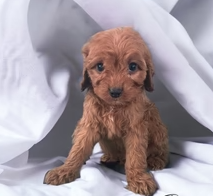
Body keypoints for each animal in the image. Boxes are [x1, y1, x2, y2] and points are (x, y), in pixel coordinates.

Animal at [44, 26, 169, 195]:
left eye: (133, 67)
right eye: (99, 66)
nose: (115, 92)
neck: (113, 107)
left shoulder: (136, 127)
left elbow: (136, 155)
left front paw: (138, 179)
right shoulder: (89, 124)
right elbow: (78, 148)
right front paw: (64, 170)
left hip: (157, 125)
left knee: (161, 150)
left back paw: (156, 160)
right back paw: (110, 157)